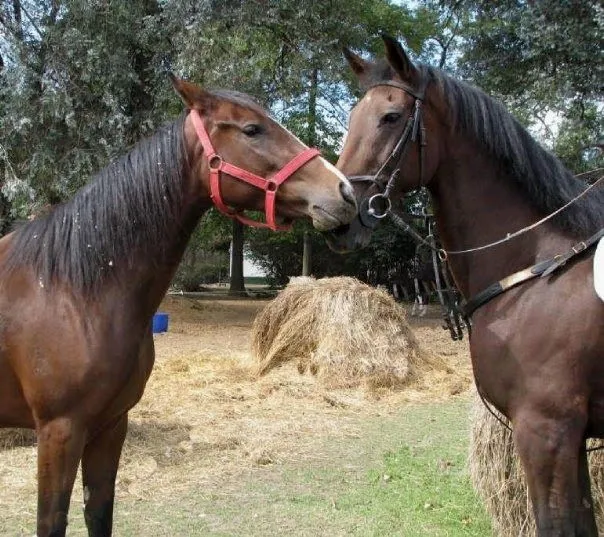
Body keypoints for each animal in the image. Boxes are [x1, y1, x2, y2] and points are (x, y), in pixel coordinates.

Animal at [0, 76, 356, 536]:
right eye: (252, 129)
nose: (344, 191)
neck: (72, 289)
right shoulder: (59, 432)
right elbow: (52, 521)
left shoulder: (110, 426)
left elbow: (99, 513)